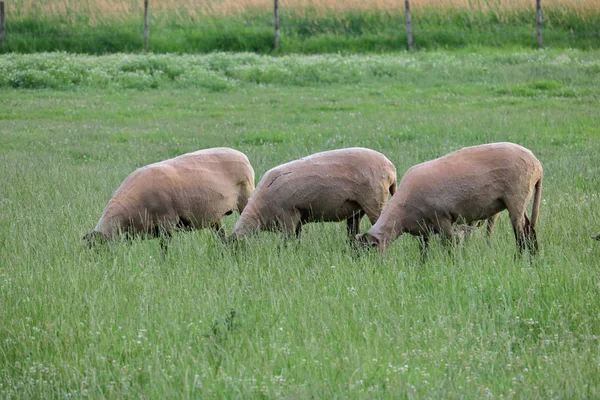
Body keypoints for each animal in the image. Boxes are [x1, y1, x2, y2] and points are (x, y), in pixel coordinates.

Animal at [83, 147, 254, 247]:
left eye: (99, 248)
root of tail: (243, 156)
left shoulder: (167, 223)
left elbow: (164, 248)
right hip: (215, 217)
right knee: (220, 234)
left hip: (245, 199)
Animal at [232, 148, 396, 239]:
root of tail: (390, 167)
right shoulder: (297, 218)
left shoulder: (288, 217)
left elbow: (286, 242)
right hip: (357, 208)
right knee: (353, 230)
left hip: (374, 200)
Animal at [356, 142, 544, 255]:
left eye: (368, 252)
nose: (371, 271)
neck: (401, 215)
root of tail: (537, 164)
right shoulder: (424, 227)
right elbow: (424, 249)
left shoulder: (443, 219)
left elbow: (449, 246)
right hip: (520, 199)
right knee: (530, 229)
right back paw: (533, 258)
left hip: (516, 197)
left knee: (521, 233)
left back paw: (519, 258)